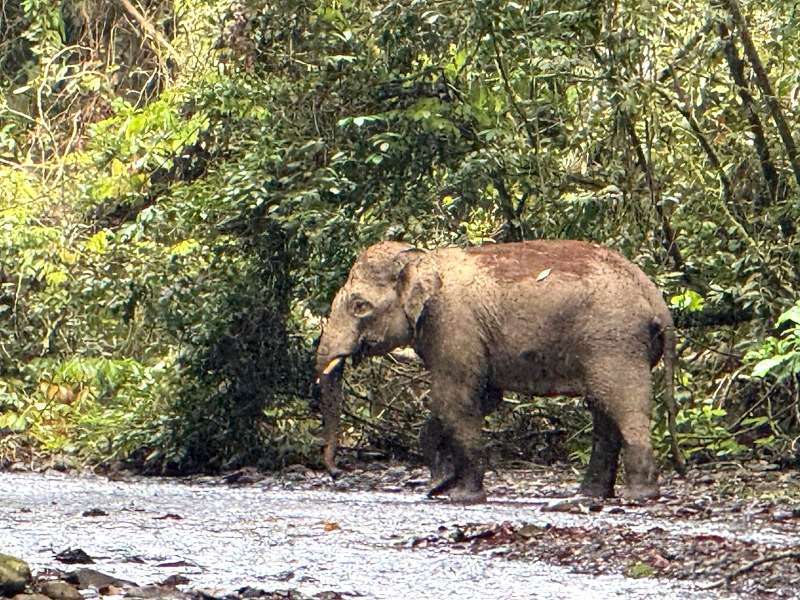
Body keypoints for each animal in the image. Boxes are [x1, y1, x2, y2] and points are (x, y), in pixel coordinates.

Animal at [315, 240, 684, 503]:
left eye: (359, 306)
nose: (335, 472)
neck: (424, 259)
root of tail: (655, 296)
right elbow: (483, 397)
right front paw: (440, 485)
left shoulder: (452, 323)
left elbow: (456, 398)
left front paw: (462, 497)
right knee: (603, 411)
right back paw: (588, 496)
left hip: (615, 342)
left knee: (624, 407)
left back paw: (638, 496)